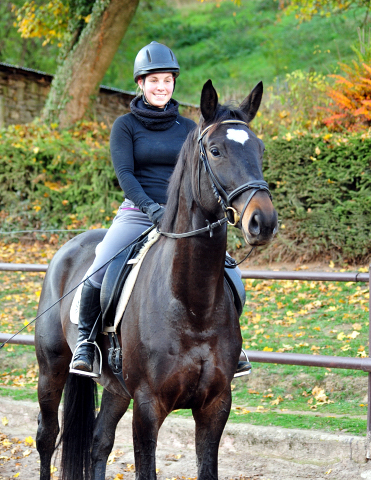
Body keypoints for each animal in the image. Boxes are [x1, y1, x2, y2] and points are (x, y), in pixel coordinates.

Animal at [35, 80, 280, 478]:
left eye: (259, 148)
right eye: (215, 150)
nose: (263, 222)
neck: (191, 304)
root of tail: (68, 248)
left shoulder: (215, 405)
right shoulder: (148, 406)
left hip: (116, 389)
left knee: (98, 442)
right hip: (51, 368)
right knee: (46, 436)